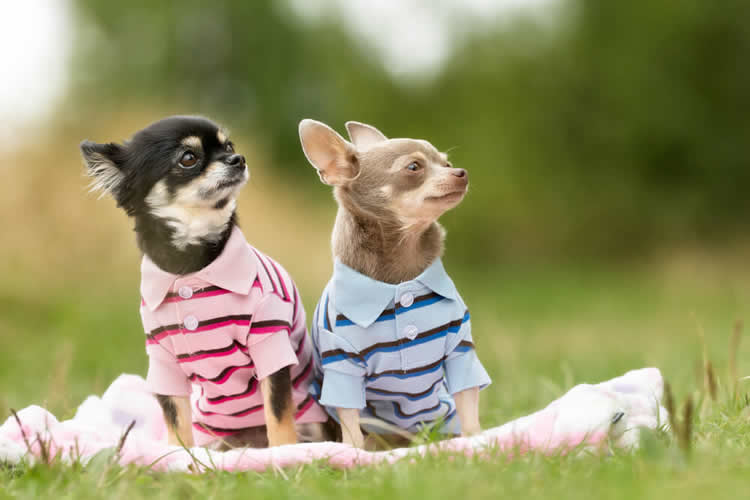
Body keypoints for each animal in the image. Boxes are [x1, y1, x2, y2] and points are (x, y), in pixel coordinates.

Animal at [81, 117, 328, 450]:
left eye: (229, 146)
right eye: (189, 158)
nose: (238, 159)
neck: (190, 265)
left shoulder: (270, 342)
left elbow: (278, 413)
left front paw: (283, 453)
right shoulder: (163, 361)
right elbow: (175, 419)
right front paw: (177, 455)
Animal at [300, 119, 494, 448]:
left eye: (446, 163)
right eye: (414, 167)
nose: (461, 172)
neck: (399, 276)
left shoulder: (460, 348)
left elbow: (469, 404)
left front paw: (475, 441)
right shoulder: (342, 366)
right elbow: (350, 423)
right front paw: (353, 453)